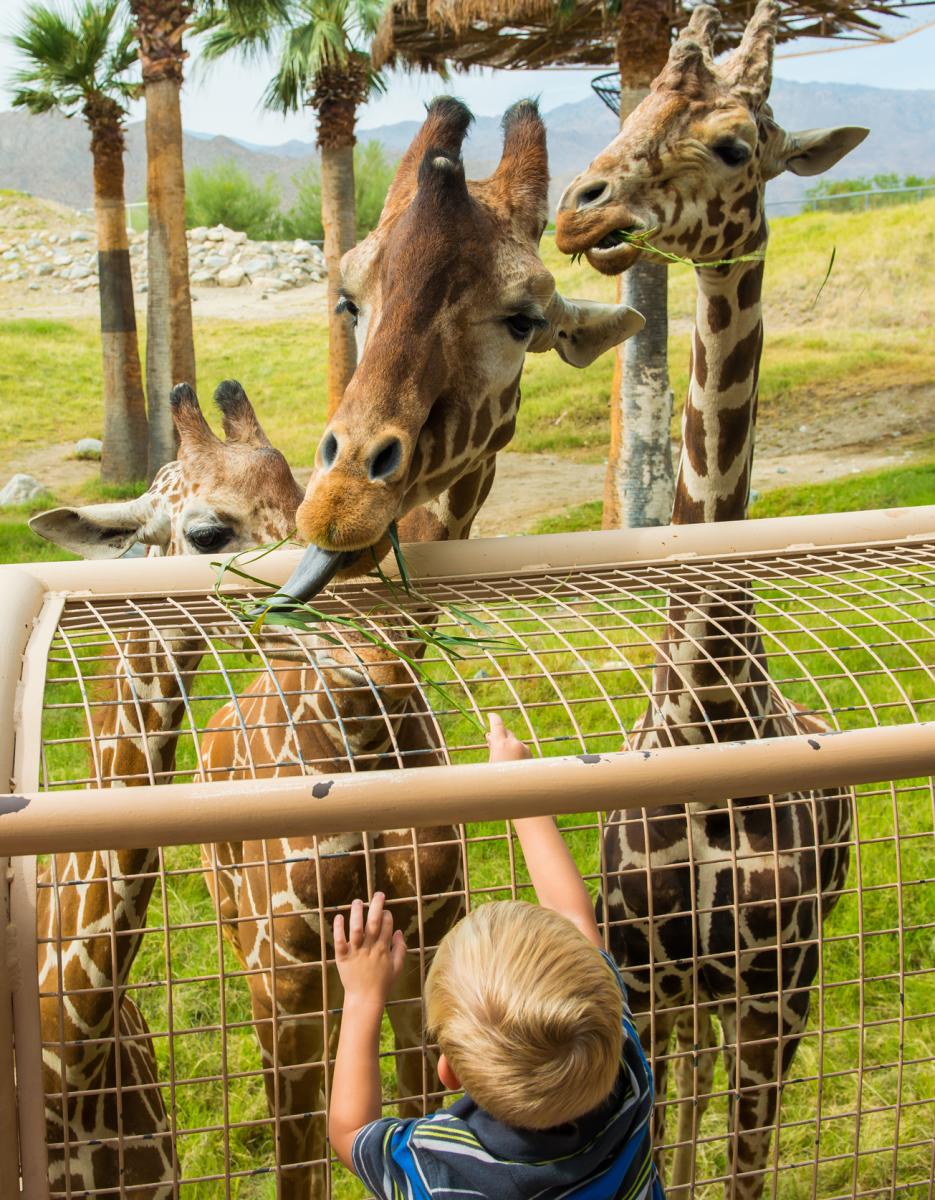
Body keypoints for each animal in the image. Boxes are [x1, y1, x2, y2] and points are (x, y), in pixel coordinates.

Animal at [556, 4, 868, 1195]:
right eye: (634, 106)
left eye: (737, 144)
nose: (580, 206)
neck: (707, 713)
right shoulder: (642, 977)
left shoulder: (777, 994)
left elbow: (742, 1171)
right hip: (691, 1000)